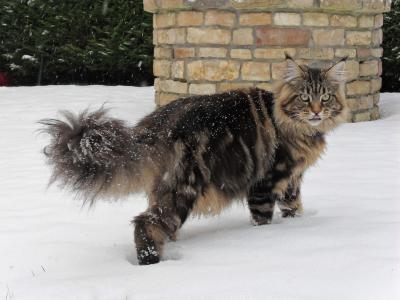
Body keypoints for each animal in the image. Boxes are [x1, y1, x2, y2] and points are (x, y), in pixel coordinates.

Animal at [39, 54, 346, 264]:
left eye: (326, 97)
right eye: (304, 98)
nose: (316, 111)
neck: (298, 128)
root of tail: (159, 121)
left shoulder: (291, 180)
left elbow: (294, 207)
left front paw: (297, 225)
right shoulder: (265, 183)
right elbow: (263, 219)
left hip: (167, 189)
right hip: (184, 187)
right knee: (145, 224)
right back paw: (153, 262)